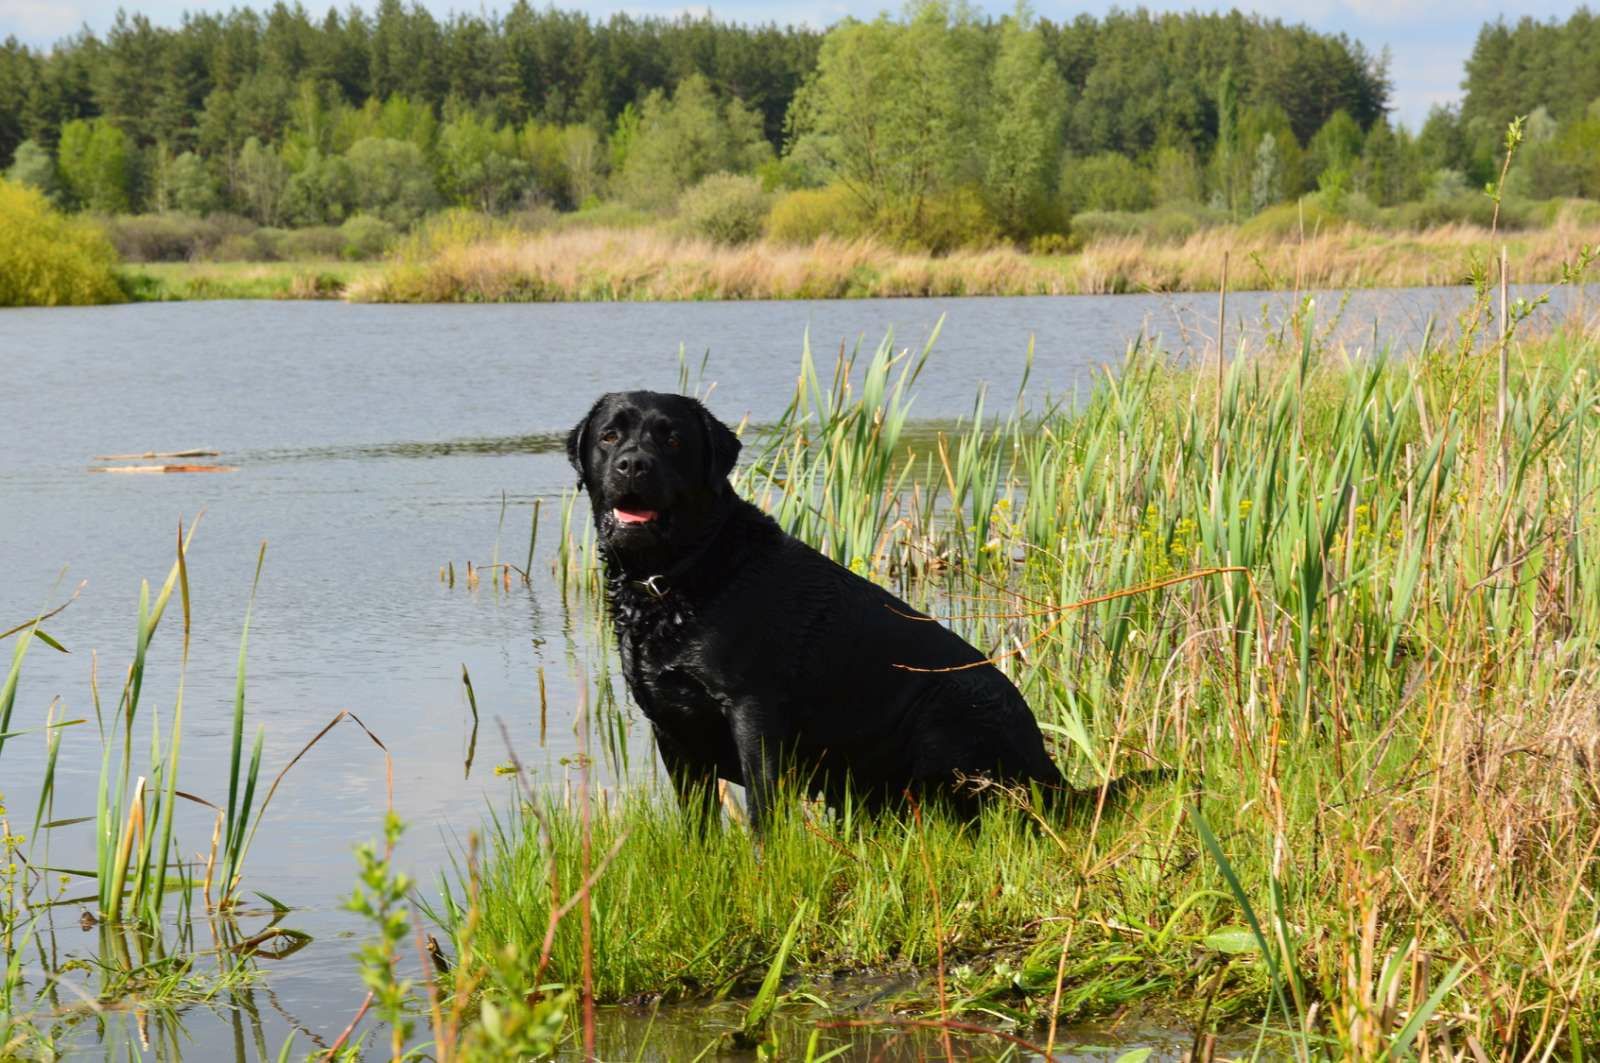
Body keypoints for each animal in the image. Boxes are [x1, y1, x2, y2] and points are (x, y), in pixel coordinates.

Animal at [569, 390, 1068, 832]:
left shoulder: (754, 712)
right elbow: (698, 825)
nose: (633, 464)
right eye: (610, 436)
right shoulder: (671, 727)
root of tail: (1052, 773)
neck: (680, 574)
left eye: (672, 439)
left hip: (948, 704)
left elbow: (763, 816)